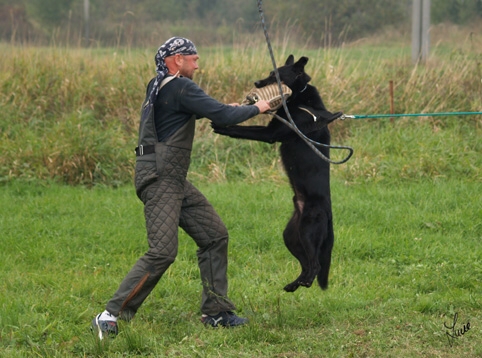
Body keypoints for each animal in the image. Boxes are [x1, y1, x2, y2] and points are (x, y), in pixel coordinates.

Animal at [213, 55, 340, 290]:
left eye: (276, 76)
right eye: (269, 73)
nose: (256, 82)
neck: (298, 99)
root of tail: (329, 215)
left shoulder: (270, 133)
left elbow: (244, 129)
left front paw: (222, 125)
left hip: (308, 229)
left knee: (315, 264)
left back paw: (304, 282)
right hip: (291, 236)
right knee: (306, 263)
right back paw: (294, 285)